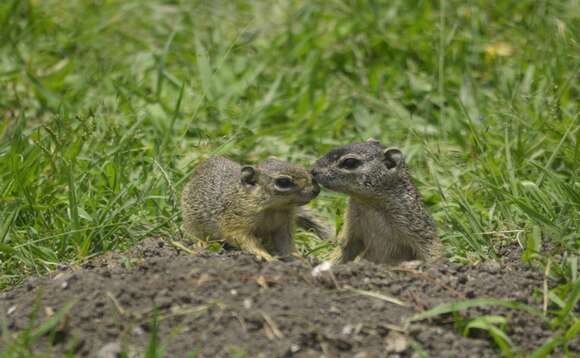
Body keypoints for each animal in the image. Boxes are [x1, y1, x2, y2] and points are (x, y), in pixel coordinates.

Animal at [180, 155, 330, 262]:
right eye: (283, 182)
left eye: (301, 168)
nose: (316, 189)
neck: (274, 209)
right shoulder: (235, 222)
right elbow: (244, 239)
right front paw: (264, 255)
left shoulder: (283, 226)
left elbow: (286, 245)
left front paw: (300, 259)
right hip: (191, 221)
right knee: (194, 234)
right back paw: (200, 244)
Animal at [312, 140, 440, 266]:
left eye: (350, 162)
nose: (313, 170)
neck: (369, 203)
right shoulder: (351, 225)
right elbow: (344, 248)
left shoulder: (415, 225)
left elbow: (430, 246)